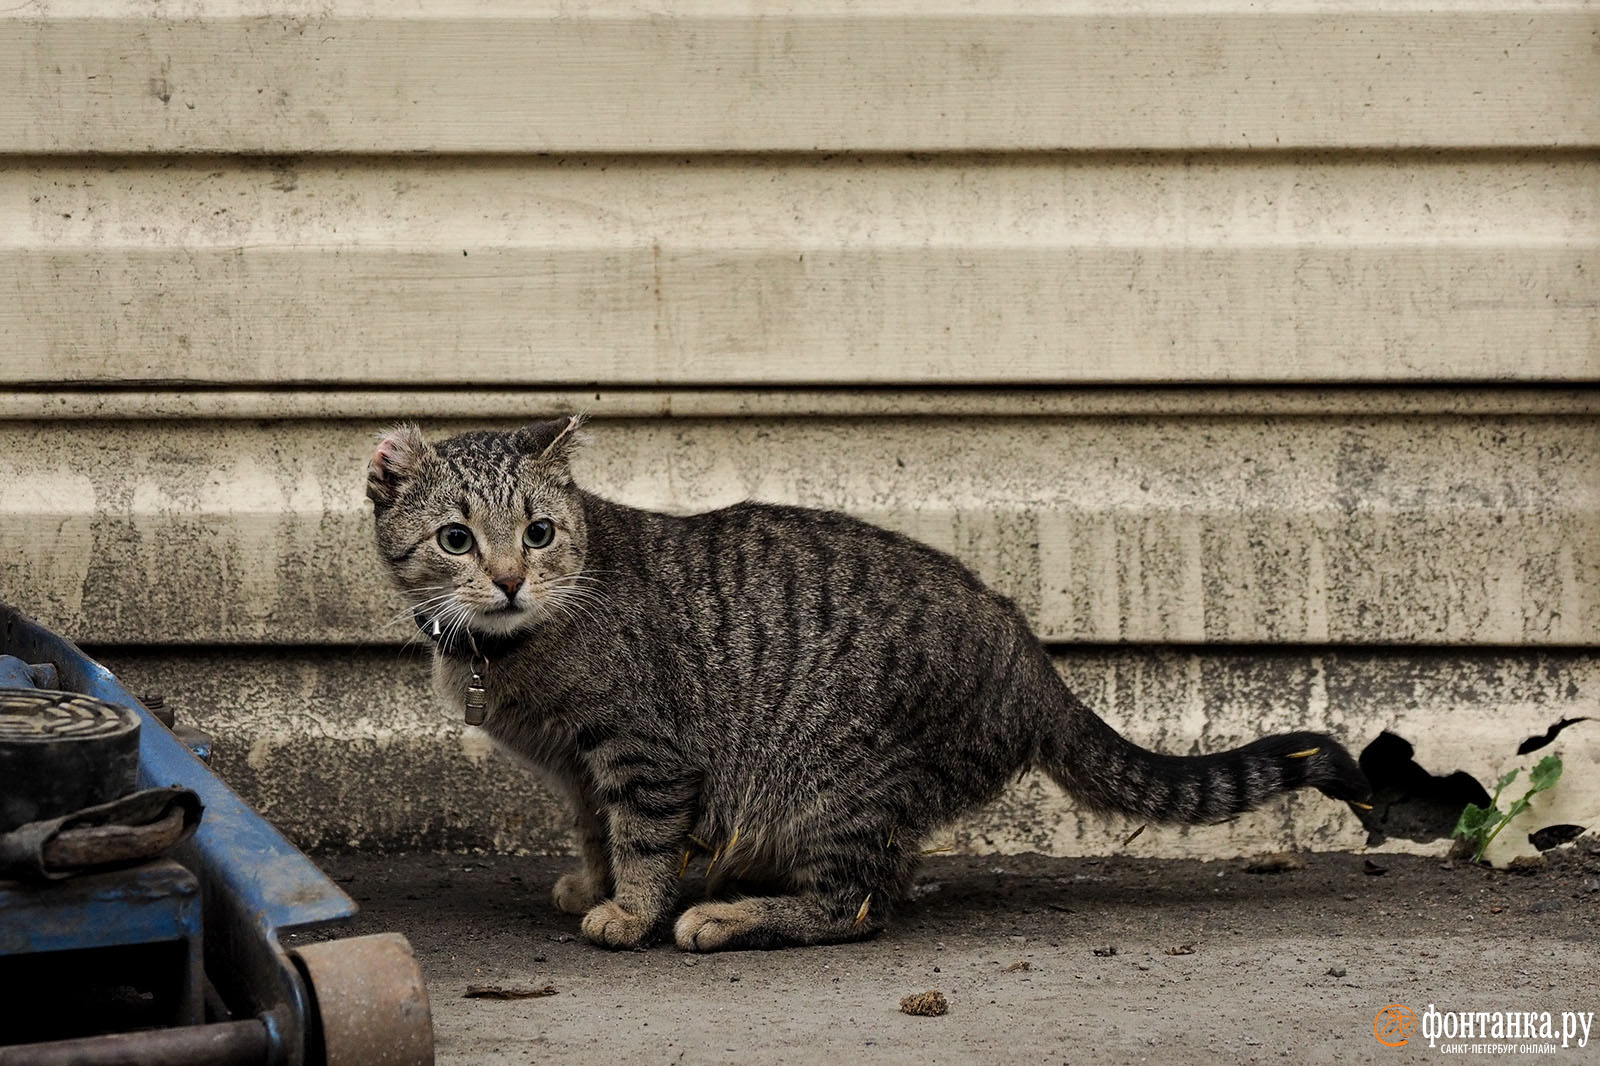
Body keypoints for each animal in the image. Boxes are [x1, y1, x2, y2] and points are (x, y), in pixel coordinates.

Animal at [368, 412, 1369, 947]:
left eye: (538, 532)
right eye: (457, 539)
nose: (509, 578)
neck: (509, 652)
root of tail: (1030, 654)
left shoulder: (645, 754)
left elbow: (644, 841)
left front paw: (634, 909)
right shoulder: (581, 768)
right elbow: (593, 831)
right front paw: (594, 881)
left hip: (831, 781)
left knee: (852, 905)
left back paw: (730, 916)